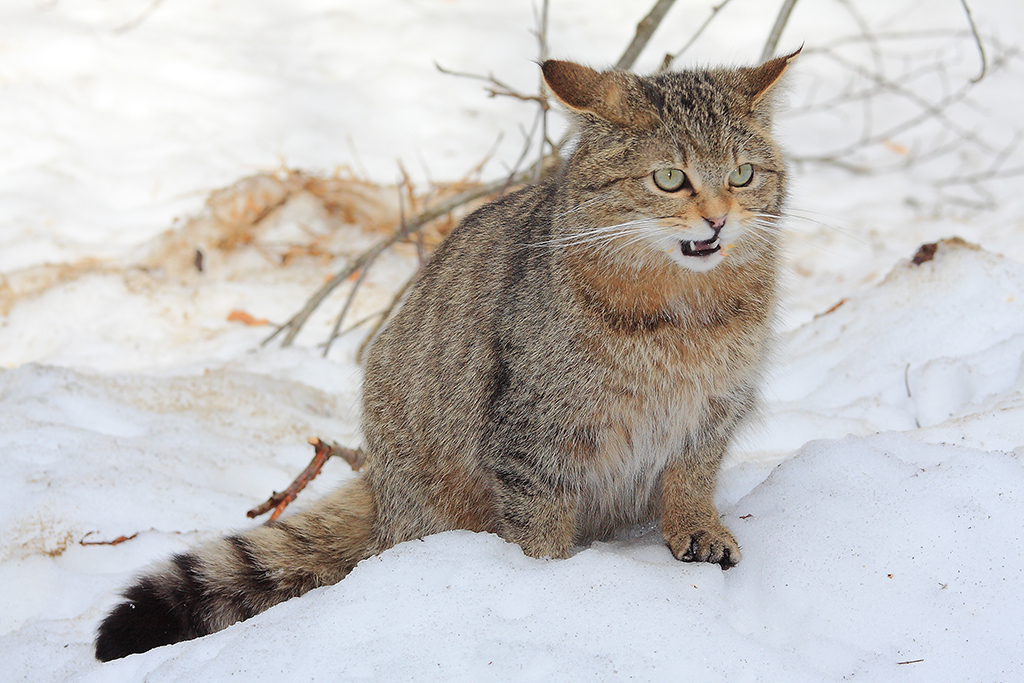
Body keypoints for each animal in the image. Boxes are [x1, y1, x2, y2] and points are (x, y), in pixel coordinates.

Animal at [94, 52, 798, 663]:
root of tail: (380, 483)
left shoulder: (712, 411)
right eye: (670, 178)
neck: (686, 315)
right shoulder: (531, 436)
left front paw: (698, 528)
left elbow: (690, 478)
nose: (718, 220)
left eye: (742, 174)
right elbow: (539, 529)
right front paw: (555, 589)